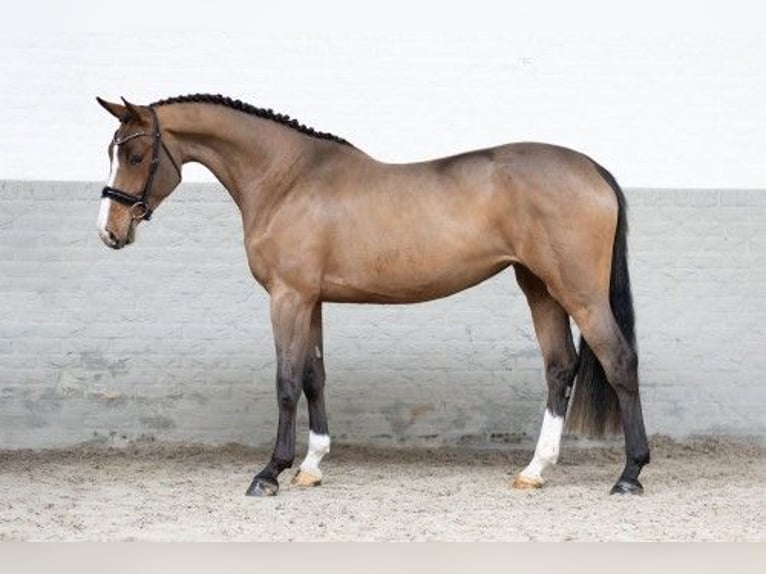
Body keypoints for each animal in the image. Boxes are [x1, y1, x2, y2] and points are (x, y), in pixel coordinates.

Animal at [93, 92, 652, 498]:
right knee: (559, 368)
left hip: (578, 292)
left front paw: (270, 472)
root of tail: (593, 169)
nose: (109, 231)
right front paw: (312, 466)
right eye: (113, 151)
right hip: (539, 286)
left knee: (619, 362)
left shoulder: (287, 298)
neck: (287, 179)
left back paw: (630, 474)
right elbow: (314, 376)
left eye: (136, 153)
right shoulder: (311, 300)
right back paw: (535, 470)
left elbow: (286, 381)